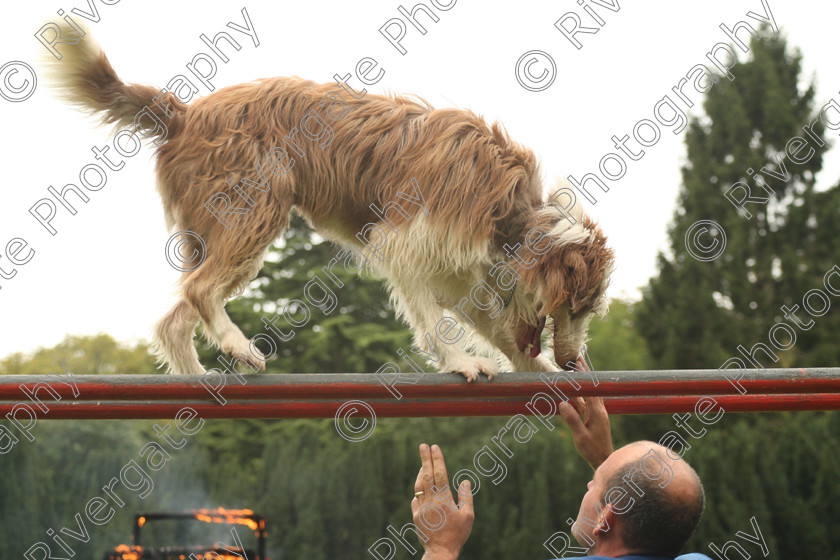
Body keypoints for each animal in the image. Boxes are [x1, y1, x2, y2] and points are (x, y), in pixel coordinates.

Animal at [49, 24, 612, 378]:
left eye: (587, 311)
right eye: (573, 307)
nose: (573, 363)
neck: (514, 217)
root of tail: (183, 112)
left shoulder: (458, 275)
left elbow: (497, 327)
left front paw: (534, 367)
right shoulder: (403, 244)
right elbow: (433, 322)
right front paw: (460, 363)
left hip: (216, 232)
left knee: (174, 319)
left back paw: (195, 381)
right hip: (256, 210)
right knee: (200, 290)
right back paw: (236, 344)